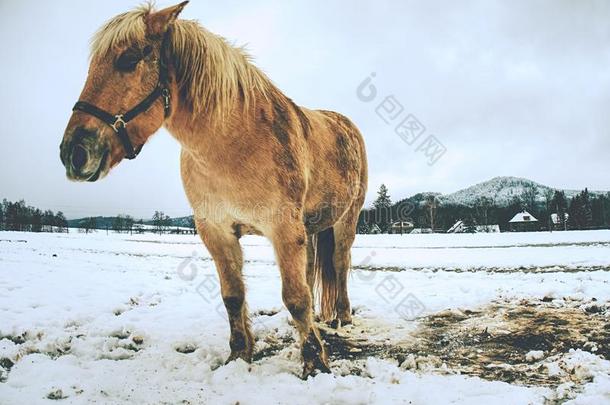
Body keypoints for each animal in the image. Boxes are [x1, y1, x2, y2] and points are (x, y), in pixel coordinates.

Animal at [60, 1, 366, 378]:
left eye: (128, 60)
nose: (73, 152)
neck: (234, 145)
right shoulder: (217, 230)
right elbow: (234, 296)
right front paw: (239, 355)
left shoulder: (282, 228)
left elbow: (295, 297)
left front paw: (315, 362)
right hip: (308, 228)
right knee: (311, 273)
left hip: (345, 219)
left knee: (339, 262)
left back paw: (342, 317)